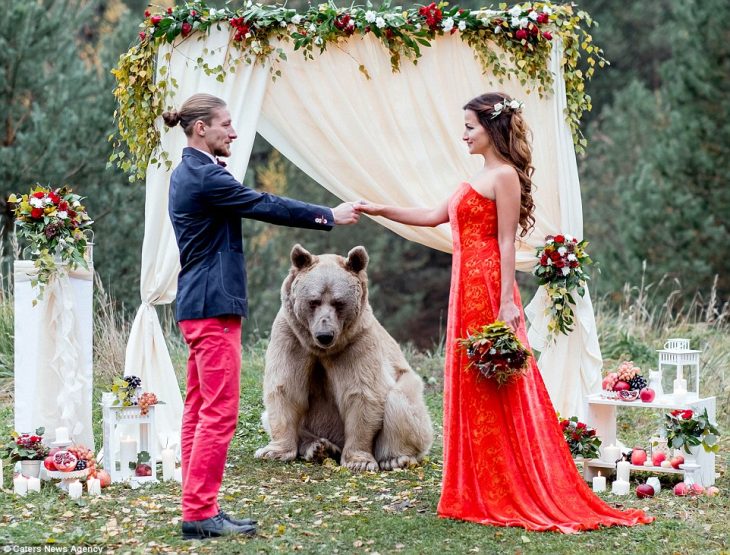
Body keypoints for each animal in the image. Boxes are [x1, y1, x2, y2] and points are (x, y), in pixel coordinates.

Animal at [255, 245, 432, 472]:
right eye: (313, 302)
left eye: (338, 303)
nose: (325, 335)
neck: (321, 349)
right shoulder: (291, 338)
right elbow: (285, 388)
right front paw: (273, 451)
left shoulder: (356, 343)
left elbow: (361, 393)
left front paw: (359, 461)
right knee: (268, 417)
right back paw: (318, 447)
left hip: (411, 393)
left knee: (401, 403)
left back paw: (396, 458)